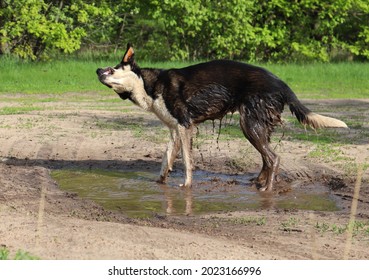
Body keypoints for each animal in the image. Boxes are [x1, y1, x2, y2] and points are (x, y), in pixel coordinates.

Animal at [96, 43, 346, 191]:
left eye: (112, 69)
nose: (97, 70)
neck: (149, 85)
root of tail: (282, 83)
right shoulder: (175, 130)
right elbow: (165, 160)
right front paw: (160, 183)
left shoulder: (185, 127)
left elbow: (187, 162)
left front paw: (186, 186)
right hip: (259, 127)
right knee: (267, 159)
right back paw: (258, 182)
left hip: (249, 125)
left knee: (274, 158)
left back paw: (267, 188)